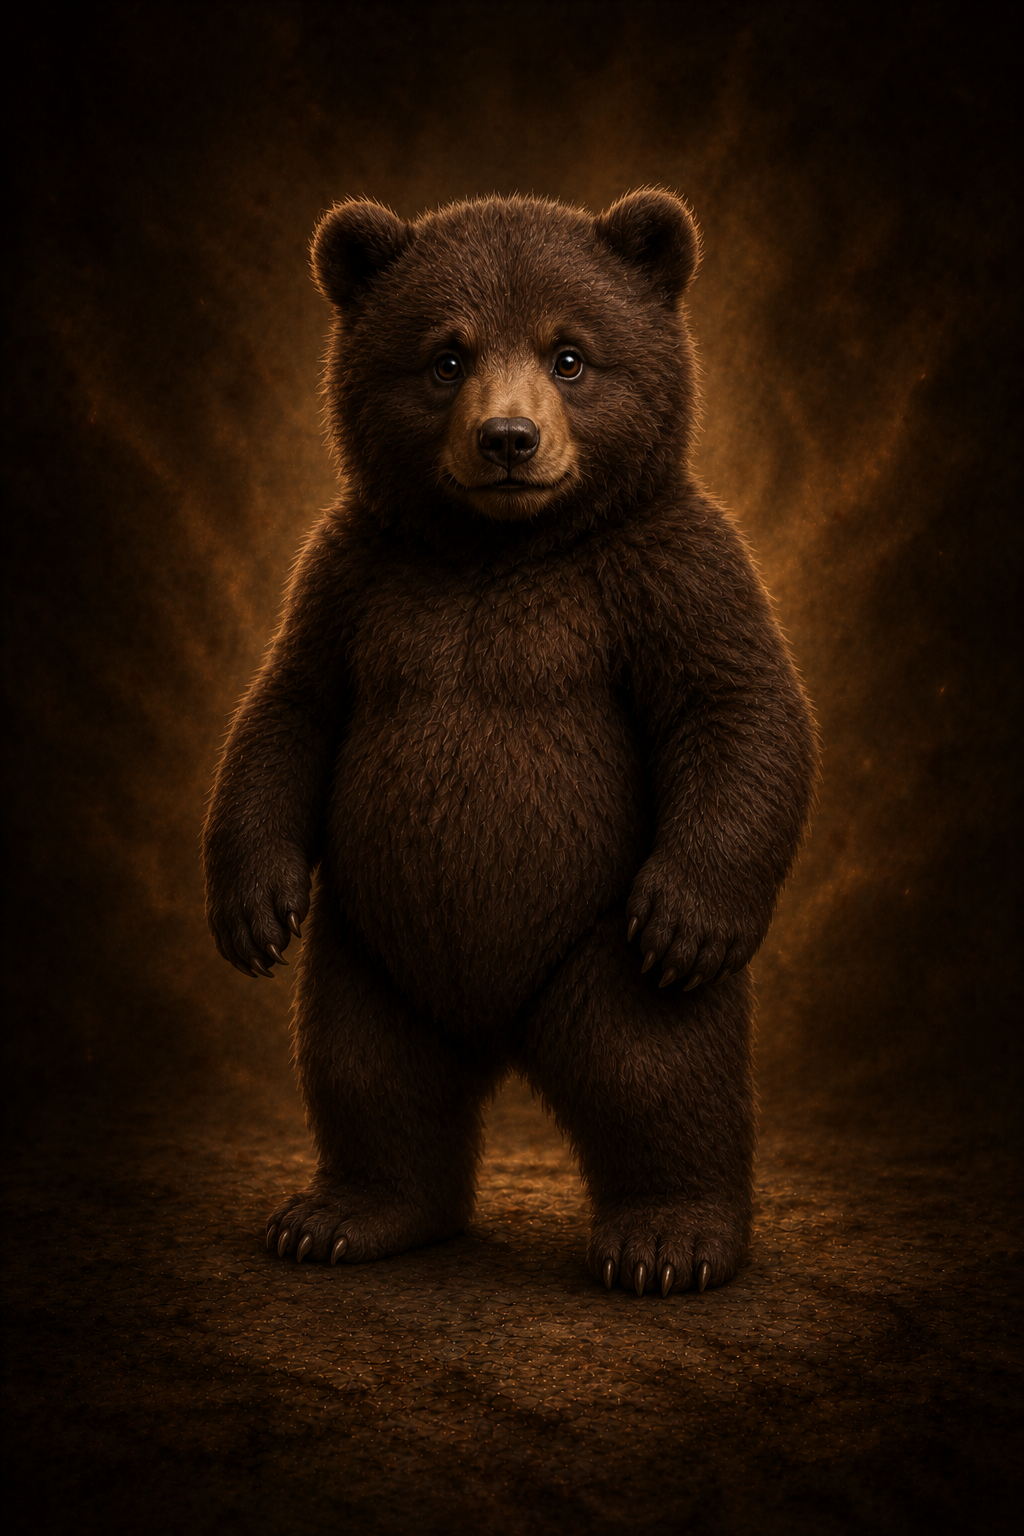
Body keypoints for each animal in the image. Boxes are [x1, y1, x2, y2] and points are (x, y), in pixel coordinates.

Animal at [203, 190, 817, 1297]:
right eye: (445, 356)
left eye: (570, 354)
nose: (508, 439)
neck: (501, 545)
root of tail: (493, 1028)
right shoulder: (355, 574)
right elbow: (289, 709)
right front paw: (253, 910)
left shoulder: (663, 569)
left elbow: (738, 706)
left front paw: (691, 915)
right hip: (372, 952)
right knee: (365, 1072)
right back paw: (344, 1214)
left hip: (592, 950)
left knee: (653, 1073)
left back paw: (670, 1239)